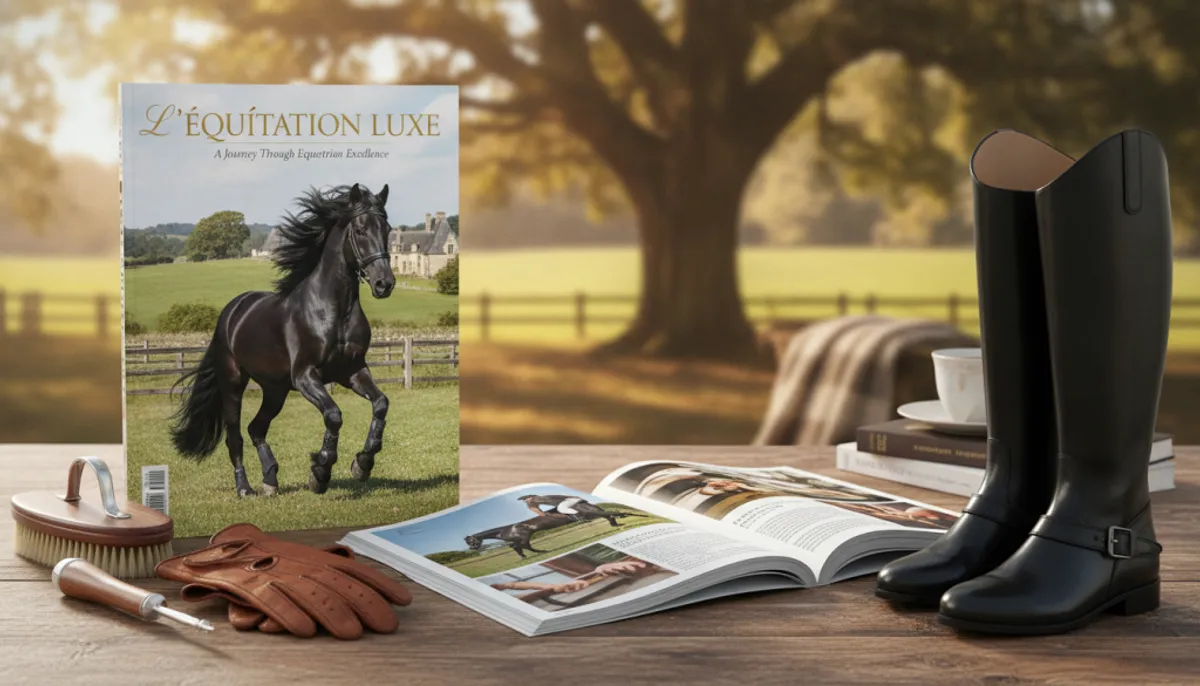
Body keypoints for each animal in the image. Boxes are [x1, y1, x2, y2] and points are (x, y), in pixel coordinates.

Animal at [169, 183, 396, 497]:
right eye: (360, 230)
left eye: (387, 229)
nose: (384, 284)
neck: (333, 310)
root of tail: (232, 311)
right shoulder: (305, 376)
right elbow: (334, 415)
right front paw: (320, 472)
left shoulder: (352, 371)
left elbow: (381, 403)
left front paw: (362, 464)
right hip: (233, 384)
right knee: (235, 436)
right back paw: (245, 488)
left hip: (275, 390)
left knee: (256, 428)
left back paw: (270, 480)